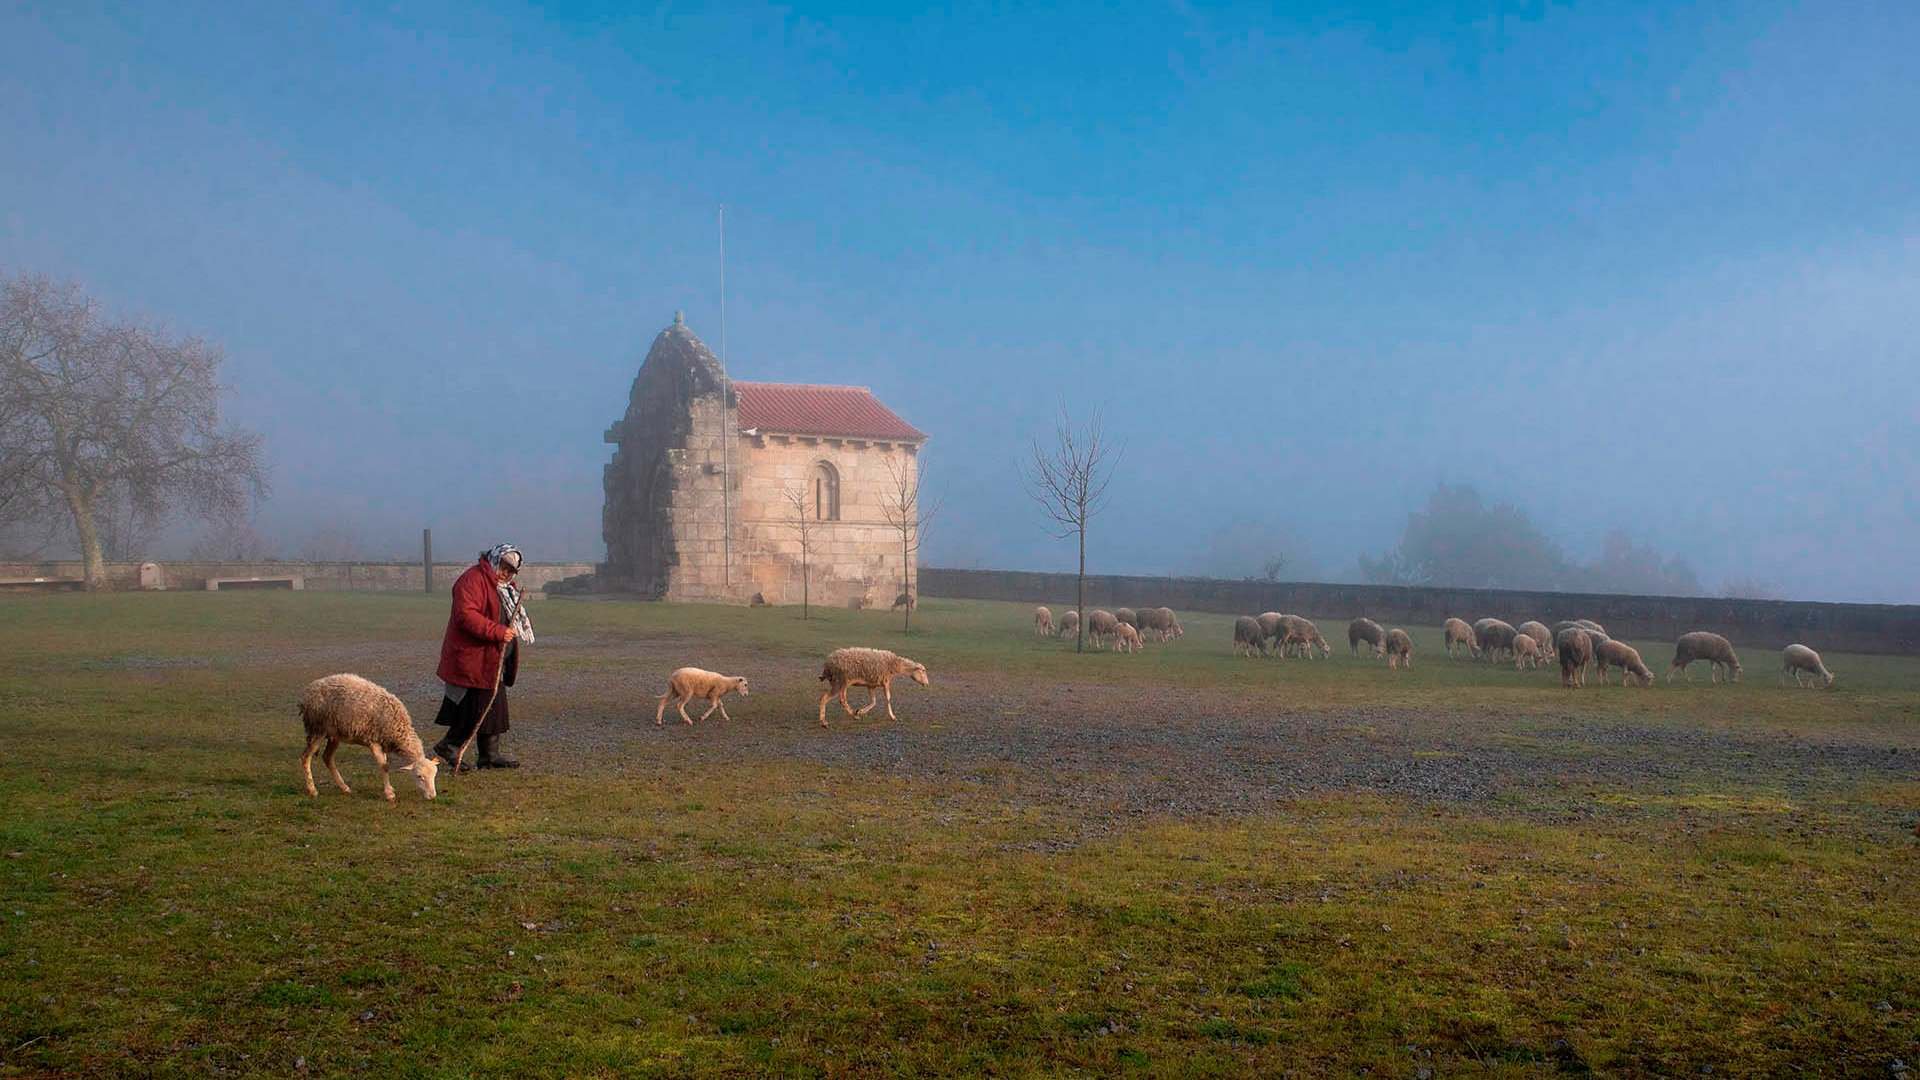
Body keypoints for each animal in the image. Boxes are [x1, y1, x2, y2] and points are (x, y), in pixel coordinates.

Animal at [293, 672, 437, 799]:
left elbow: (385, 764)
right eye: (419, 776)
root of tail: (309, 690)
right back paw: (312, 790)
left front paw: (390, 788)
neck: (397, 729)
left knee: (327, 757)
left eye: (434, 775)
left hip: (334, 734)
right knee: (305, 757)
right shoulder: (373, 742)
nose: (432, 796)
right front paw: (389, 794)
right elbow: (384, 767)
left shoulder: (383, 743)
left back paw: (344, 787)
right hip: (317, 729)